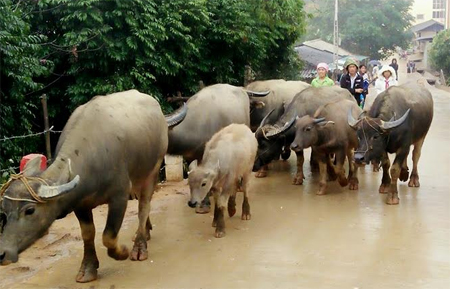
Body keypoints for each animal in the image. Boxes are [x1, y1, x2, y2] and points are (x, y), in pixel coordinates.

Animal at [0, 90, 186, 282]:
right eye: (3, 212)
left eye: (30, 210)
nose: (3, 254)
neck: (92, 157)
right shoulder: (80, 203)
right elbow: (88, 234)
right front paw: (88, 268)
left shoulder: (119, 196)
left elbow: (109, 236)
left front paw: (122, 252)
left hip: (153, 170)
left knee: (144, 206)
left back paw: (139, 246)